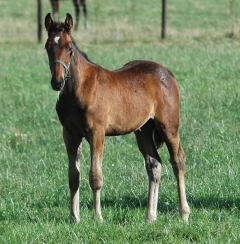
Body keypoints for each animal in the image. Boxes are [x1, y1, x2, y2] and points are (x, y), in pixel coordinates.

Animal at [44, 13, 191, 223]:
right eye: (47, 46)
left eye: (69, 48)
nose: (57, 82)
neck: (79, 89)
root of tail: (167, 73)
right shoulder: (70, 134)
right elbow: (73, 177)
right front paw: (74, 217)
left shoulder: (96, 133)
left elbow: (95, 176)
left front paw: (98, 217)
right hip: (143, 130)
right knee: (154, 164)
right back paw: (150, 216)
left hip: (168, 126)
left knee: (178, 161)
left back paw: (184, 213)